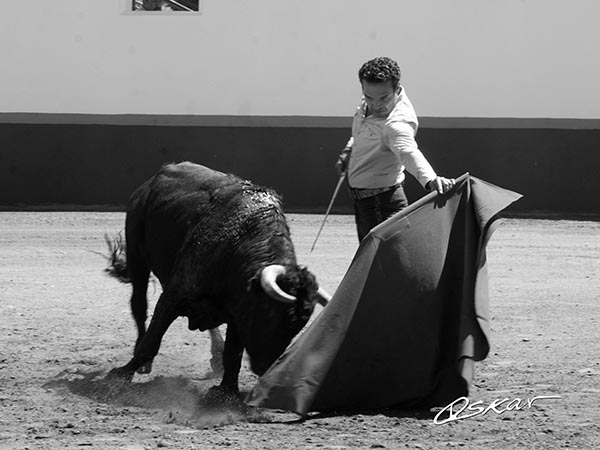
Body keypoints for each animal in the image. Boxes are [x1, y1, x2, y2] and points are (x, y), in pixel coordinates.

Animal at [106, 162, 330, 394]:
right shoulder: (175, 294)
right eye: (270, 313)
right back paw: (141, 363)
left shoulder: (237, 312)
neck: (237, 247)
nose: (266, 368)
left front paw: (227, 390)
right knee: (139, 305)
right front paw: (122, 374)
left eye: (299, 326)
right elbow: (153, 337)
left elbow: (233, 354)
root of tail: (154, 178)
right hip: (136, 255)